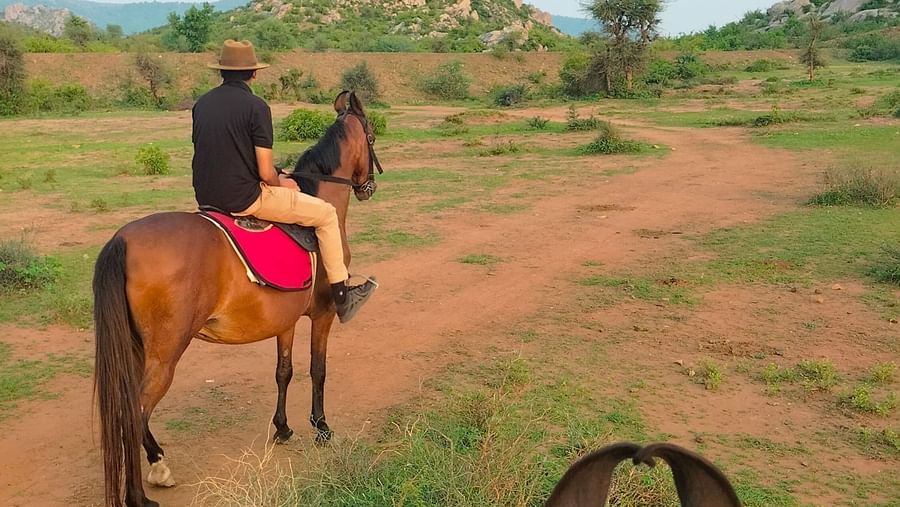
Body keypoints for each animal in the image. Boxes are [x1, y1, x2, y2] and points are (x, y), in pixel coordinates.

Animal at [92, 91, 381, 507]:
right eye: (371, 135)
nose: (368, 186)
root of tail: (122, 240)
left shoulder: (286, 321)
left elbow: (283, 371)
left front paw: (282, 428)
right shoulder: (323, 315)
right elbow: (318, 370)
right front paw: (321, 427)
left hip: (136, 347)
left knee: (130, 408)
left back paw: (158, 462)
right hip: (165, 353)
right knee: (134, 412)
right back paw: (138, 493)